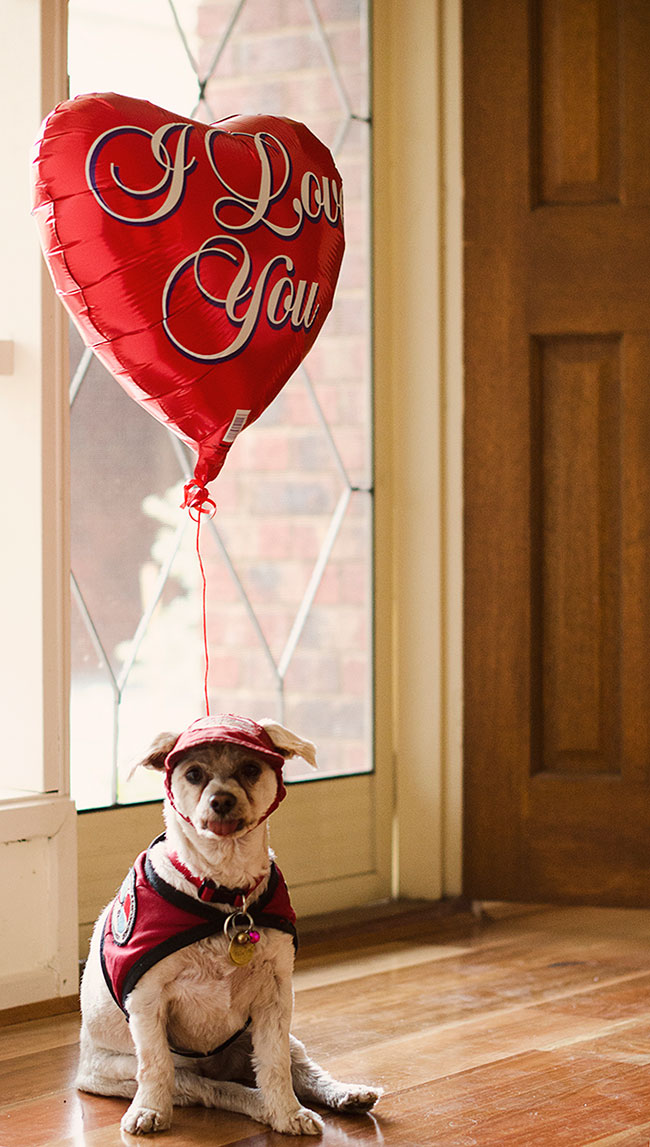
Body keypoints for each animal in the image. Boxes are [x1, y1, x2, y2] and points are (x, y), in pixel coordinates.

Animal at [76, 711, 380, 1133]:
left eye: (251, 769)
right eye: (193, 774)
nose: (222, 800)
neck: (224, 891)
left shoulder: (275, 999)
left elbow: (275, 1067)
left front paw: (288, 1112)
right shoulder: (148, 1002)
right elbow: (155, 1066)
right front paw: (149, 1110)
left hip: (270, 1037)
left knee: (299, 1070)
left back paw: (343, 1095)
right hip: (138, 1070)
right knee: (213, 1089)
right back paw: (258, 1107)